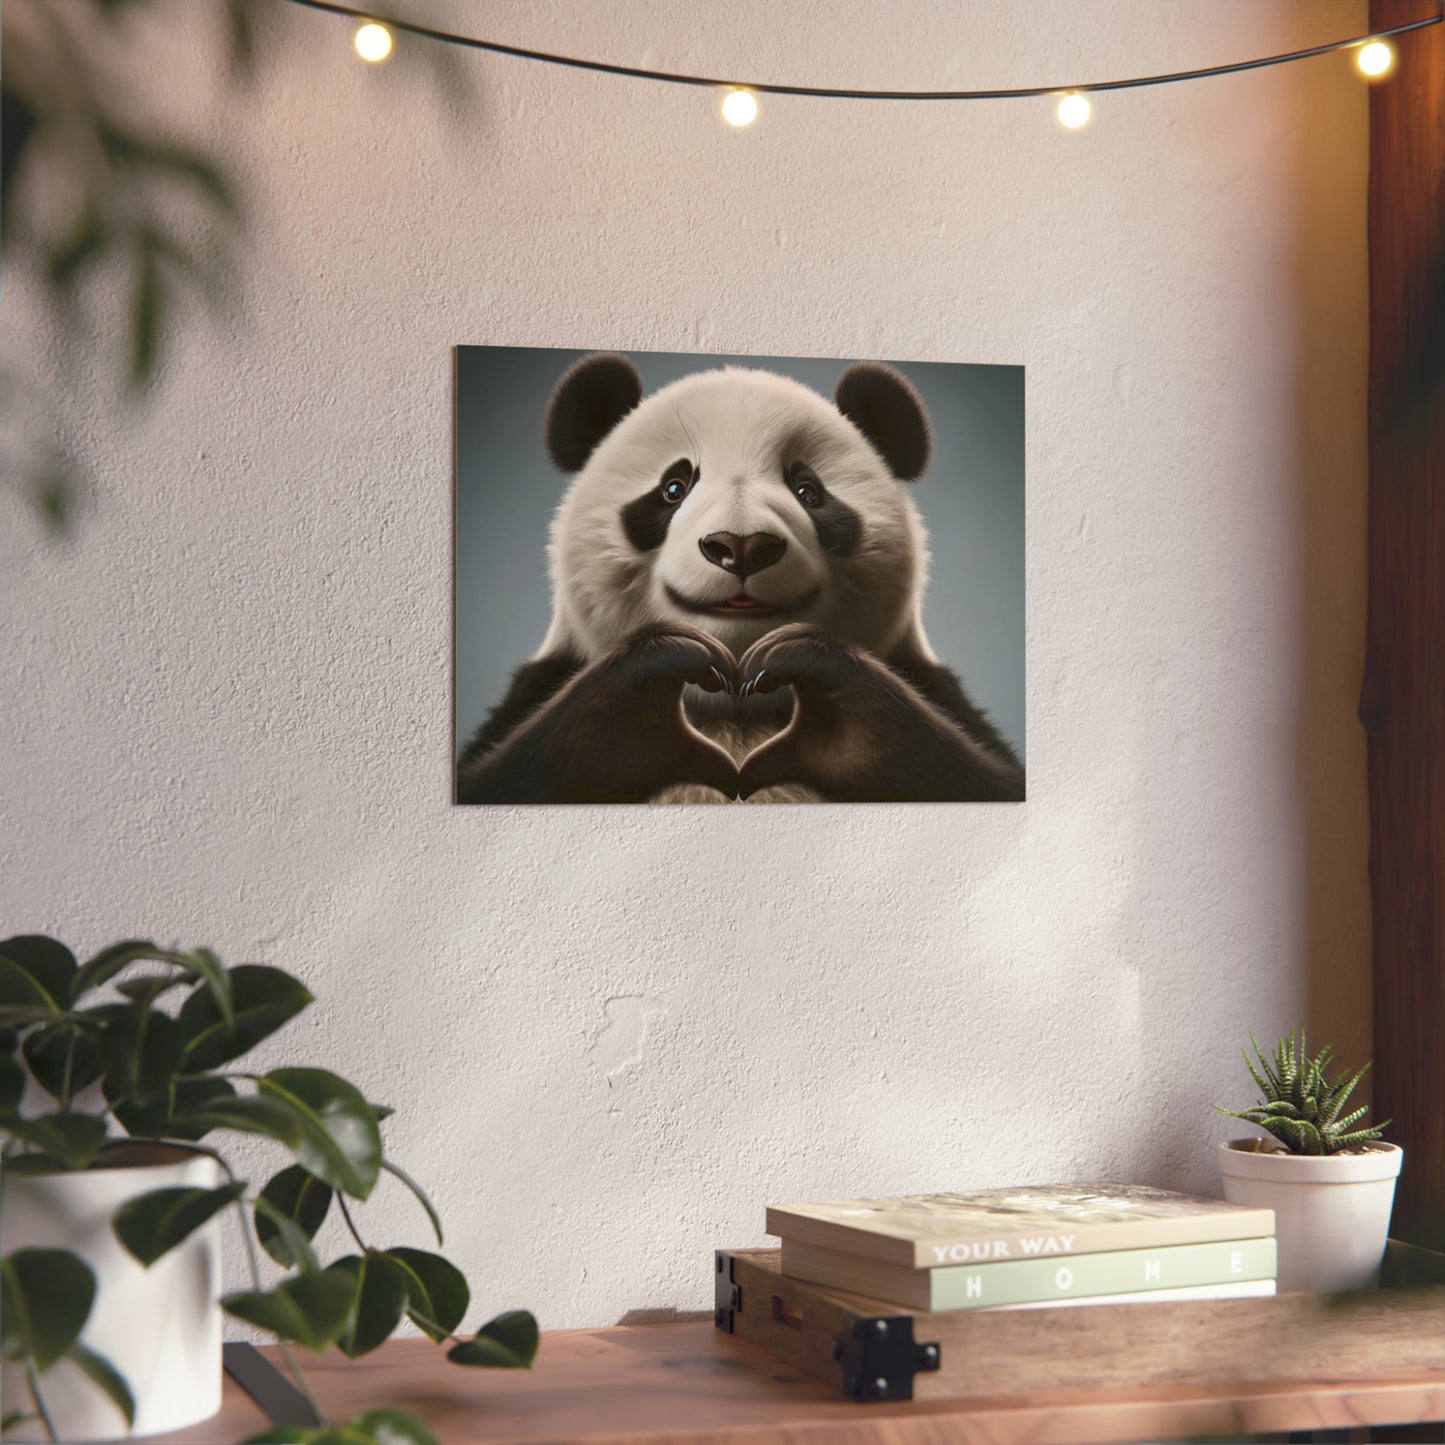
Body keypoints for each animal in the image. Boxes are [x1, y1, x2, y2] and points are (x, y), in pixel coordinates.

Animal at [456, 353, 1024, 804]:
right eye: (674, 487)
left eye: (809, 492)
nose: (742, 546)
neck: (736, 709)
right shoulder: (541, 687)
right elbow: (507, 775)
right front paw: (655, 684)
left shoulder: (934, 691)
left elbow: (974, 775)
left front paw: (816, 687)